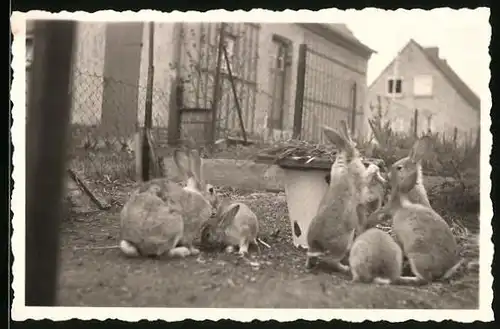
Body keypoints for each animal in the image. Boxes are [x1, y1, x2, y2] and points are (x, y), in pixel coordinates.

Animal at [302, 121, 374, 274]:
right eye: (355, 146)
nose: (360, 152)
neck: (346, 158)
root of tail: (317, 244)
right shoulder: (361, 182)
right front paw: (374, 167)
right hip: (344, 242)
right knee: (331, 260)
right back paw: (346, 268)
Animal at [366, 136, 462, 284]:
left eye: (399, 167)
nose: (388, 175)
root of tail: (444, 271)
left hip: (416, 253)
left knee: (424, 279)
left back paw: (401, 278)